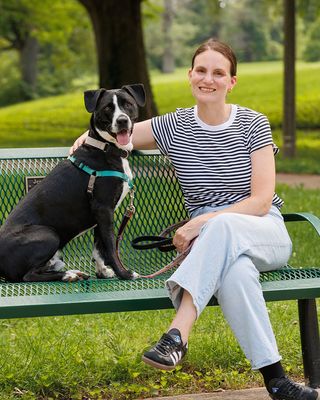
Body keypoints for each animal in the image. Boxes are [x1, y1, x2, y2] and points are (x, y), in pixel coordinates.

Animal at [0, 84, 146, 282]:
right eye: (108, 107)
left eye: (128, 104)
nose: (122, 120)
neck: (105, 148)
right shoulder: (103, 208)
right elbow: (109, 246)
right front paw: (123, 273)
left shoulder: (101, 213)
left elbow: (98, 246)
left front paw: (102, 272)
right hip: (48, 234)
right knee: (28, 276)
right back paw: (68, 275)